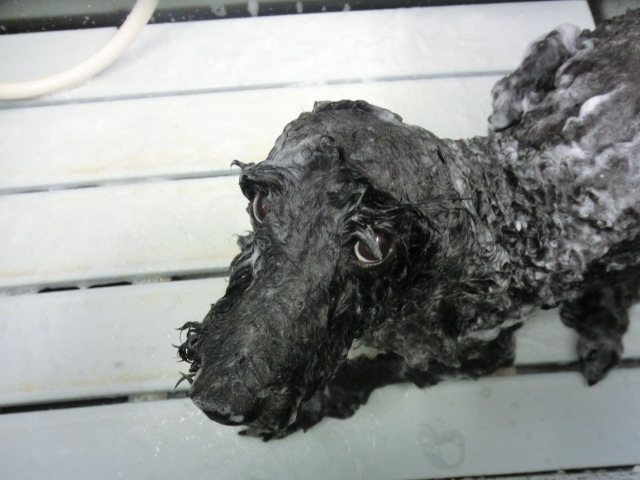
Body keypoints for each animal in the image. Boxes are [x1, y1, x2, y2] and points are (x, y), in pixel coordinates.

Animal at [177, 10, 640, 439]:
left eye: (372, 247)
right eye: (260, 206)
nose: (220, 401)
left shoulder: (480, 354)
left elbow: (382, 368)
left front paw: (316, 405)